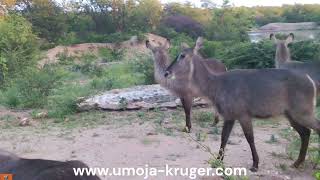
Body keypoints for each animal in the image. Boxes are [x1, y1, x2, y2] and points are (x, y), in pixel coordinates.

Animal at [165, 44, 320, 172]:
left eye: (182, 55)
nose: (167, 72)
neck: (216, 86)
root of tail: (310, 80)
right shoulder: (229, 116)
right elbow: (224, 137)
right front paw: (217, 161)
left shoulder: (243, 114)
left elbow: (249, 138)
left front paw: (255, 165)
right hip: (291, 114)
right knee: (305, 133)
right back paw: (297, 163)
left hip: (303, 111)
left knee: (315, 128)